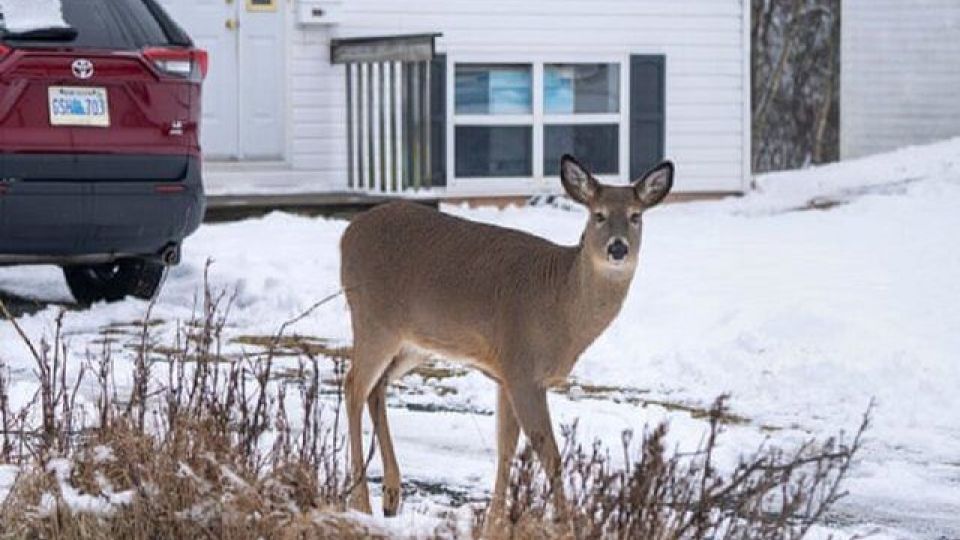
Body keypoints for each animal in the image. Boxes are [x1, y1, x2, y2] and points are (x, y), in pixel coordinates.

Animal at [340, 154, 676, 516]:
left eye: (635, 216)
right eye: (598, 215)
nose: (617, 248)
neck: (562, 304)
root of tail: (347, 234)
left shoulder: (506, 375)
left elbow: (506, 451)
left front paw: (495, 520)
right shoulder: (523, 368)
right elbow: (551, 456)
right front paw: (565, 521)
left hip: (414, 343)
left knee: (376, 388)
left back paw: (391, 494)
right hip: (373, 320)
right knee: (353, 387)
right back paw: (362, 502)